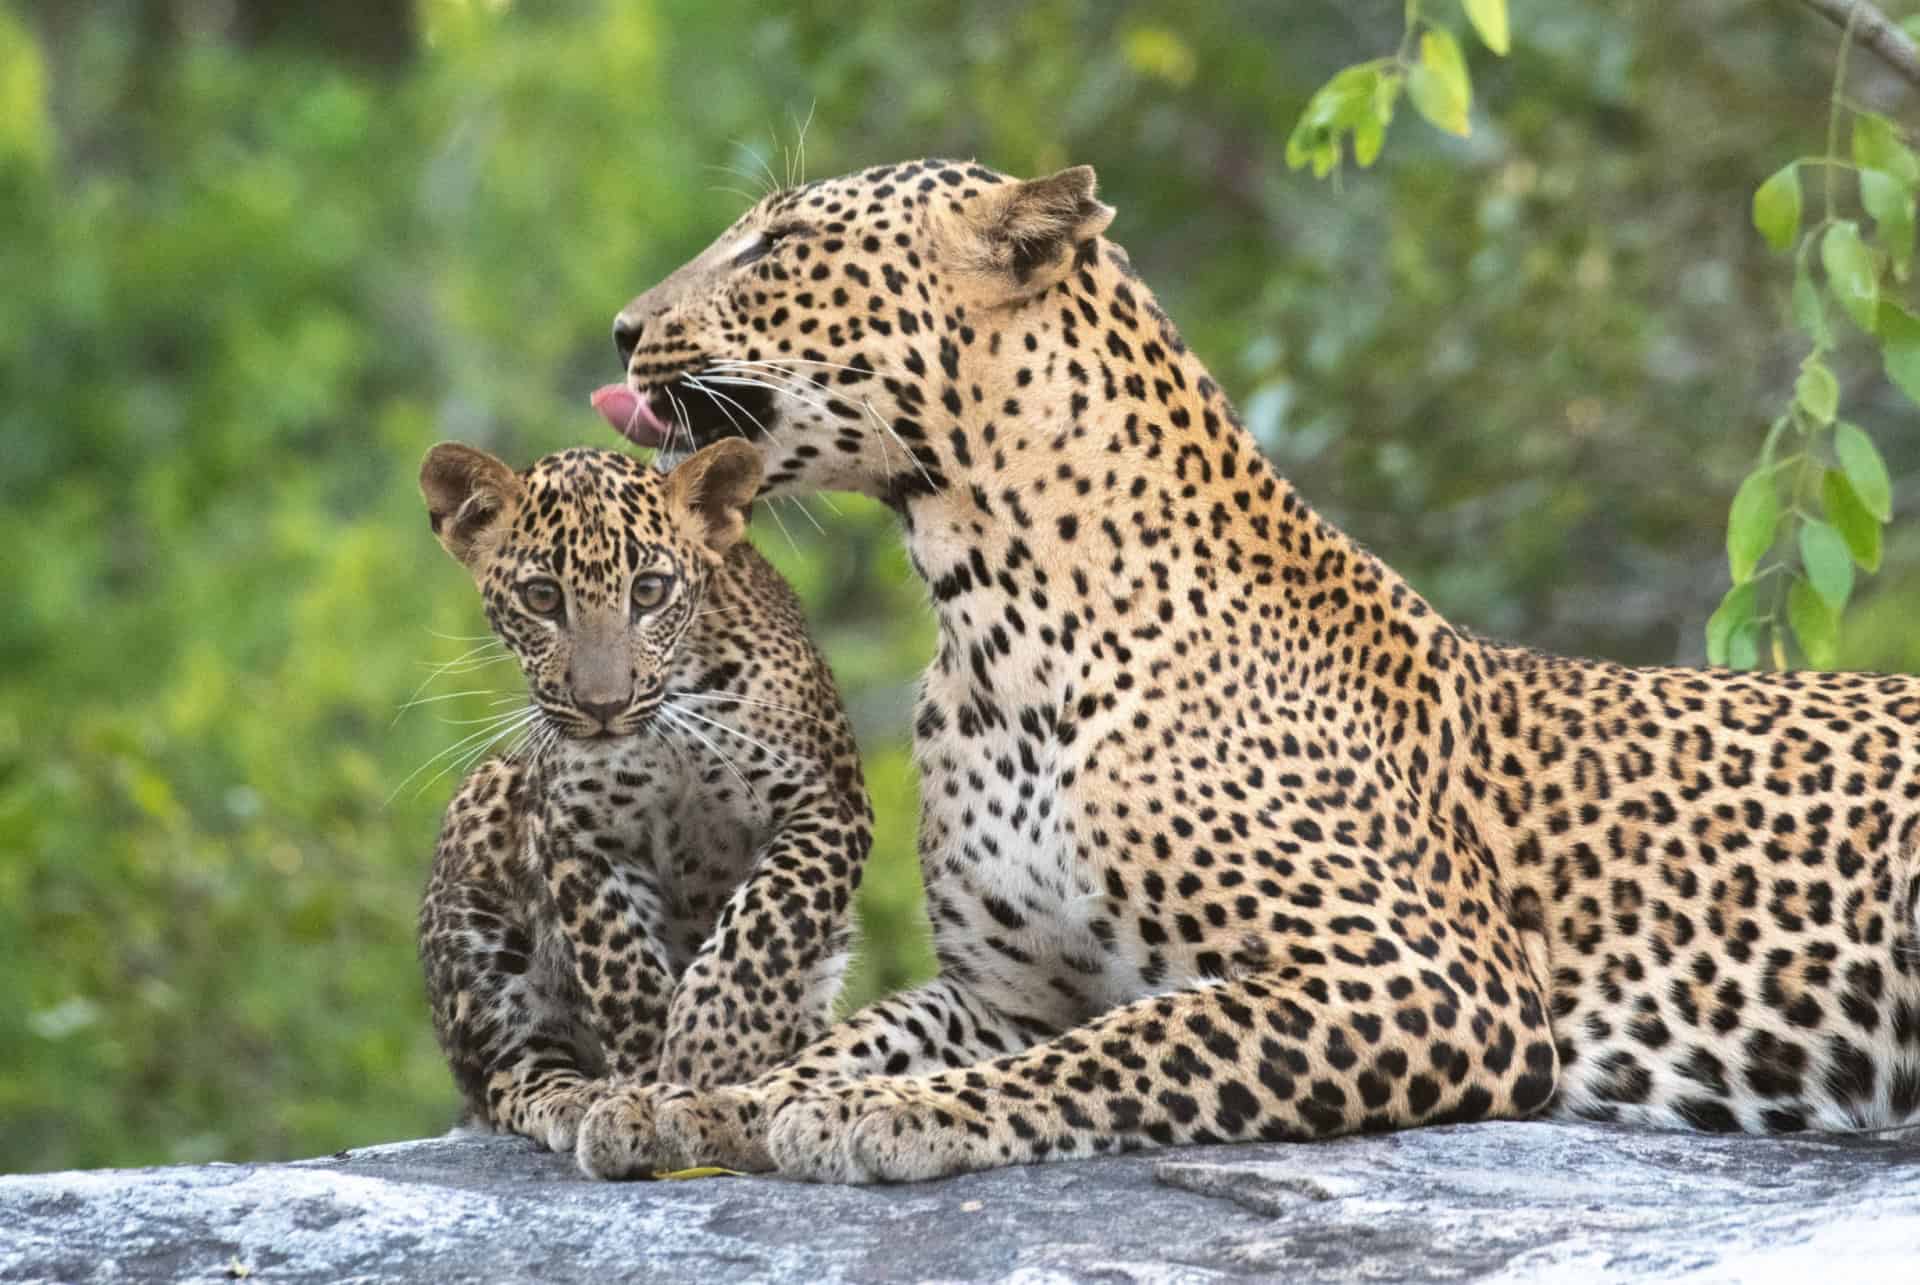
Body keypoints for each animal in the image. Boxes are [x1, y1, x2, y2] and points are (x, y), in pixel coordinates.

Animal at [572, 160, 1920, 1183]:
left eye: (780, 244)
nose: (624, 331)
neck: (993, 621)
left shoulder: (1431, 977)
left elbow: (1132, 1042)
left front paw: (894, 1115)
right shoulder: (1009, 986)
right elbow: (859, 1034)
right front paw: (701, 1100)